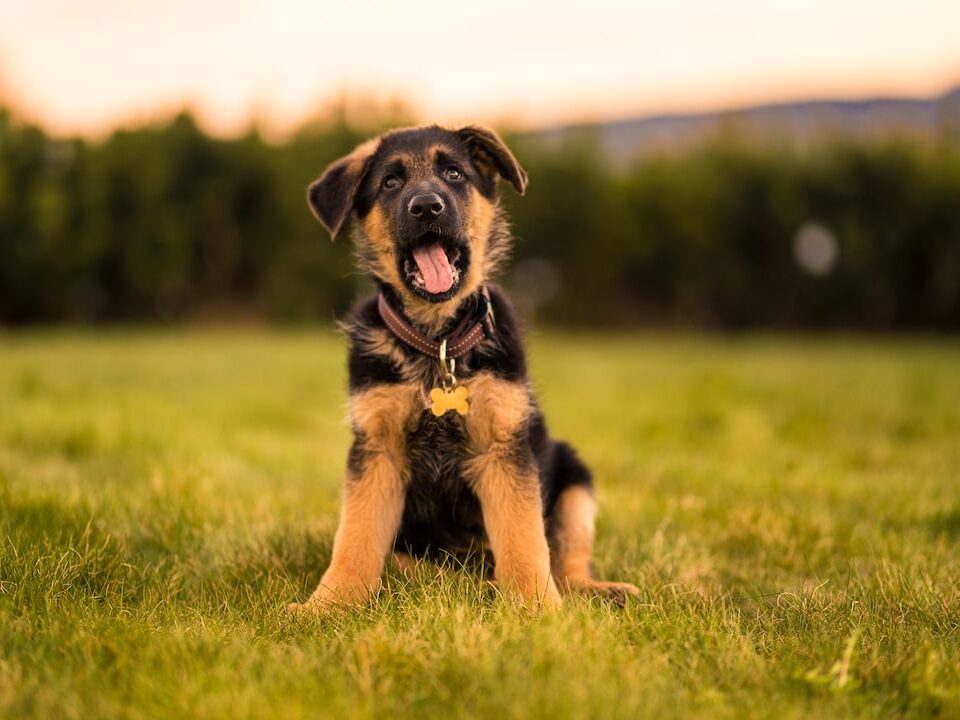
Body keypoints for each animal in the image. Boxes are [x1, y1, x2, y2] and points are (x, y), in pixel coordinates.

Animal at [290, 126, 636, 612]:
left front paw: (538, 608)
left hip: (575, 480)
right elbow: (354, 537)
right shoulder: (377, 451)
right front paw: (329, 605)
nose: (425, 206)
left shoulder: (503, 449)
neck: (437, 342)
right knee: (417, 567)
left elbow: (524, 537)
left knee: (567, 564)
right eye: (391, 182)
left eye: (454, 173)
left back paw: (595, 590)